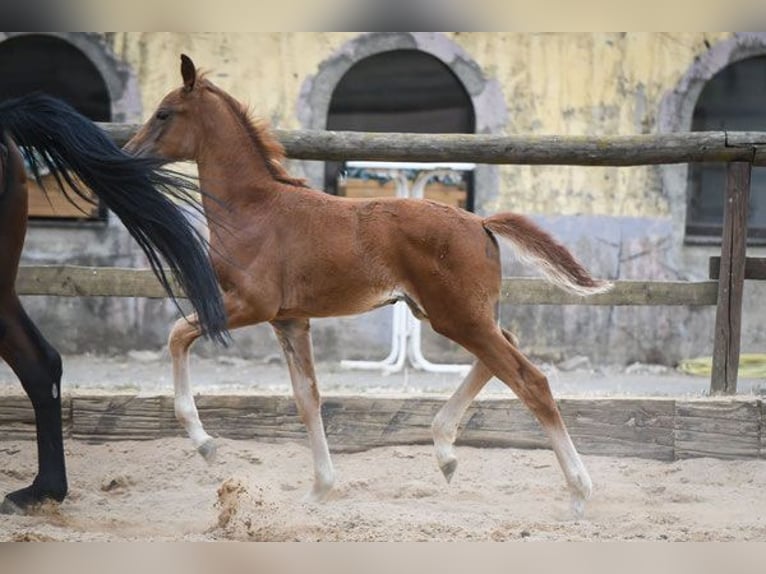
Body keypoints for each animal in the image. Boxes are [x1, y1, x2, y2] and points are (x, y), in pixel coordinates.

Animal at [127, 56, 616, 520]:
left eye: (164, 113)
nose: (129, 155)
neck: (255, 210)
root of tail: (480, 222)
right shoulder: (290, 320)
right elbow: (307, 398)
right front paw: (319, 490)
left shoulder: (252, 304)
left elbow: (177, 334)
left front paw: (205, 443)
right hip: (455, 314)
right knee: (502, 354)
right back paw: (445, 452)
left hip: (456, 316)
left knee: (529, 378)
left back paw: (578, 494)